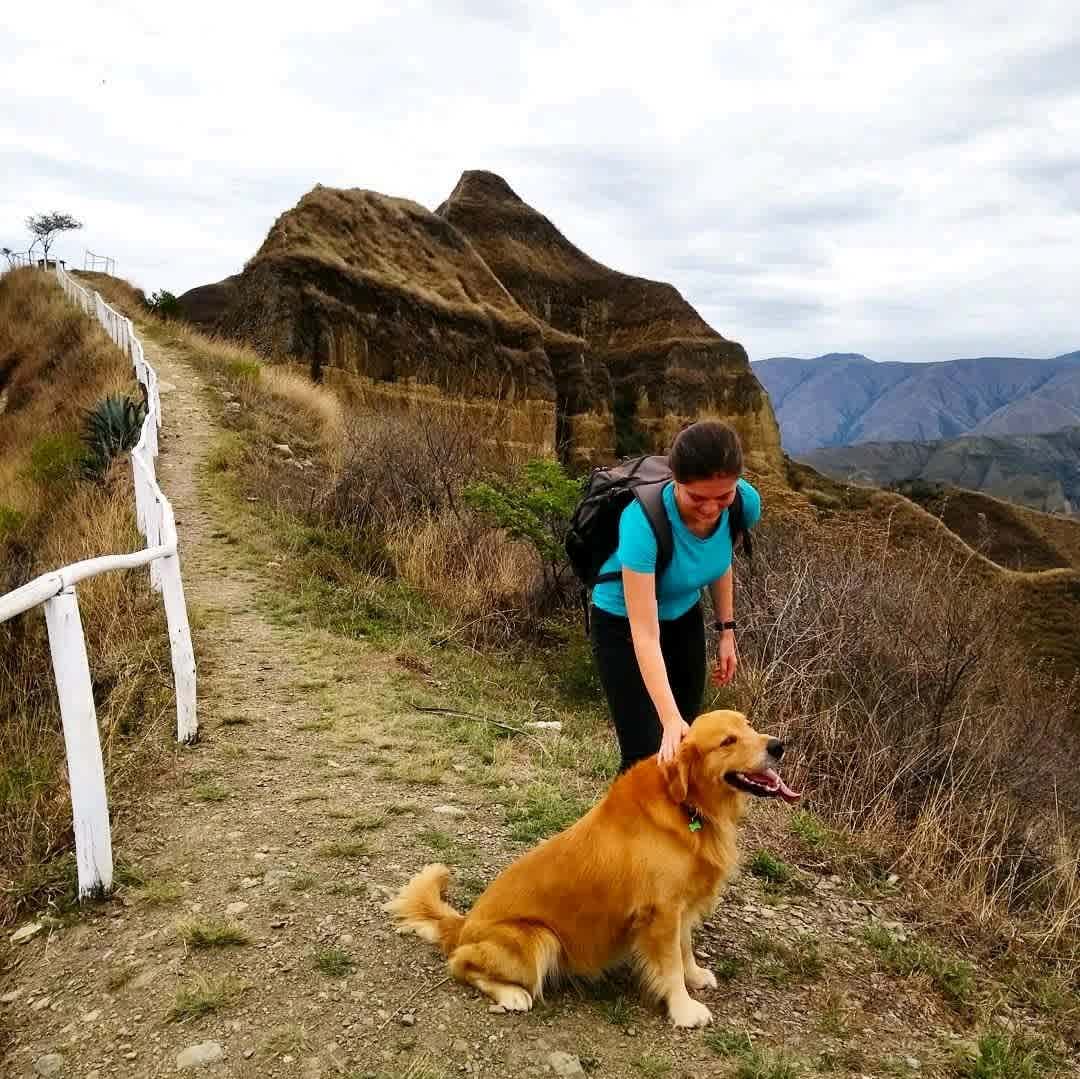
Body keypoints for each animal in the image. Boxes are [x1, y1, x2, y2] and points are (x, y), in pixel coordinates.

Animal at [384, 708, 799, 1028]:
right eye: (727, 741)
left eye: (749, 726)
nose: (778, 746)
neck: (687, 807)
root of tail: (463, 924)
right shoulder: (661, 912)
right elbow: (670, 966)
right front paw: (683, 1010)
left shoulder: (680, 907)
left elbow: (685, 949)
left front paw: (695, 976)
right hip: (538, 939)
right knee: (460, 964)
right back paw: (513, 995)